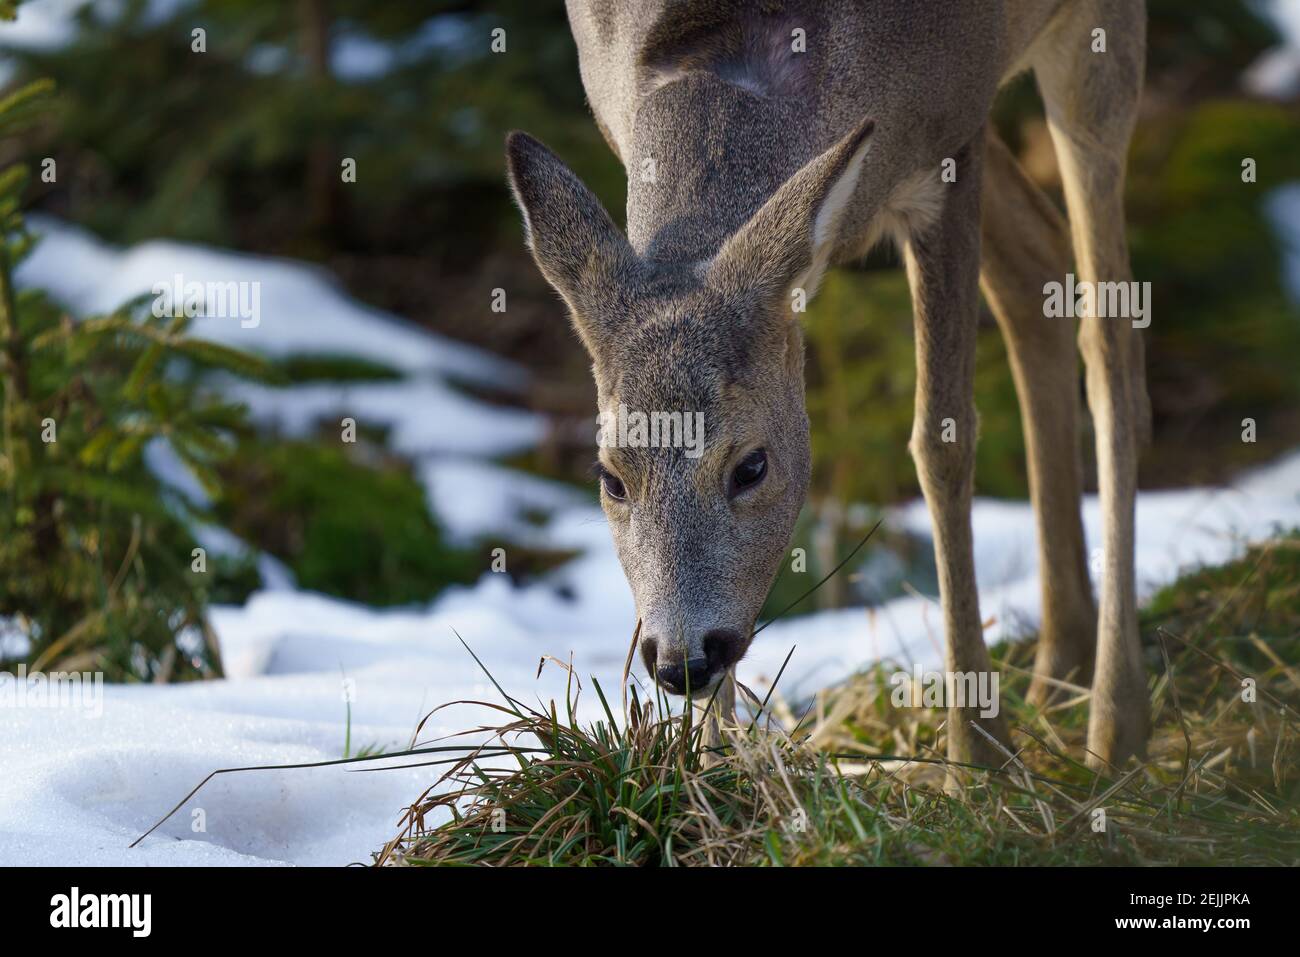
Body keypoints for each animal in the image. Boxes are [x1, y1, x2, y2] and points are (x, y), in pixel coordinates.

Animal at [506, 0, 1151, 770]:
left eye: (751, 466)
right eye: (610, 477)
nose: (683, 661)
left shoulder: (953, 134)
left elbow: (942, 443)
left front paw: (975, 761)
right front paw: (713, 775)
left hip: (1087, 45)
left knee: (1112, 340)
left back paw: (1115, 731)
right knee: (1037, 269)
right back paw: (1060, 668)